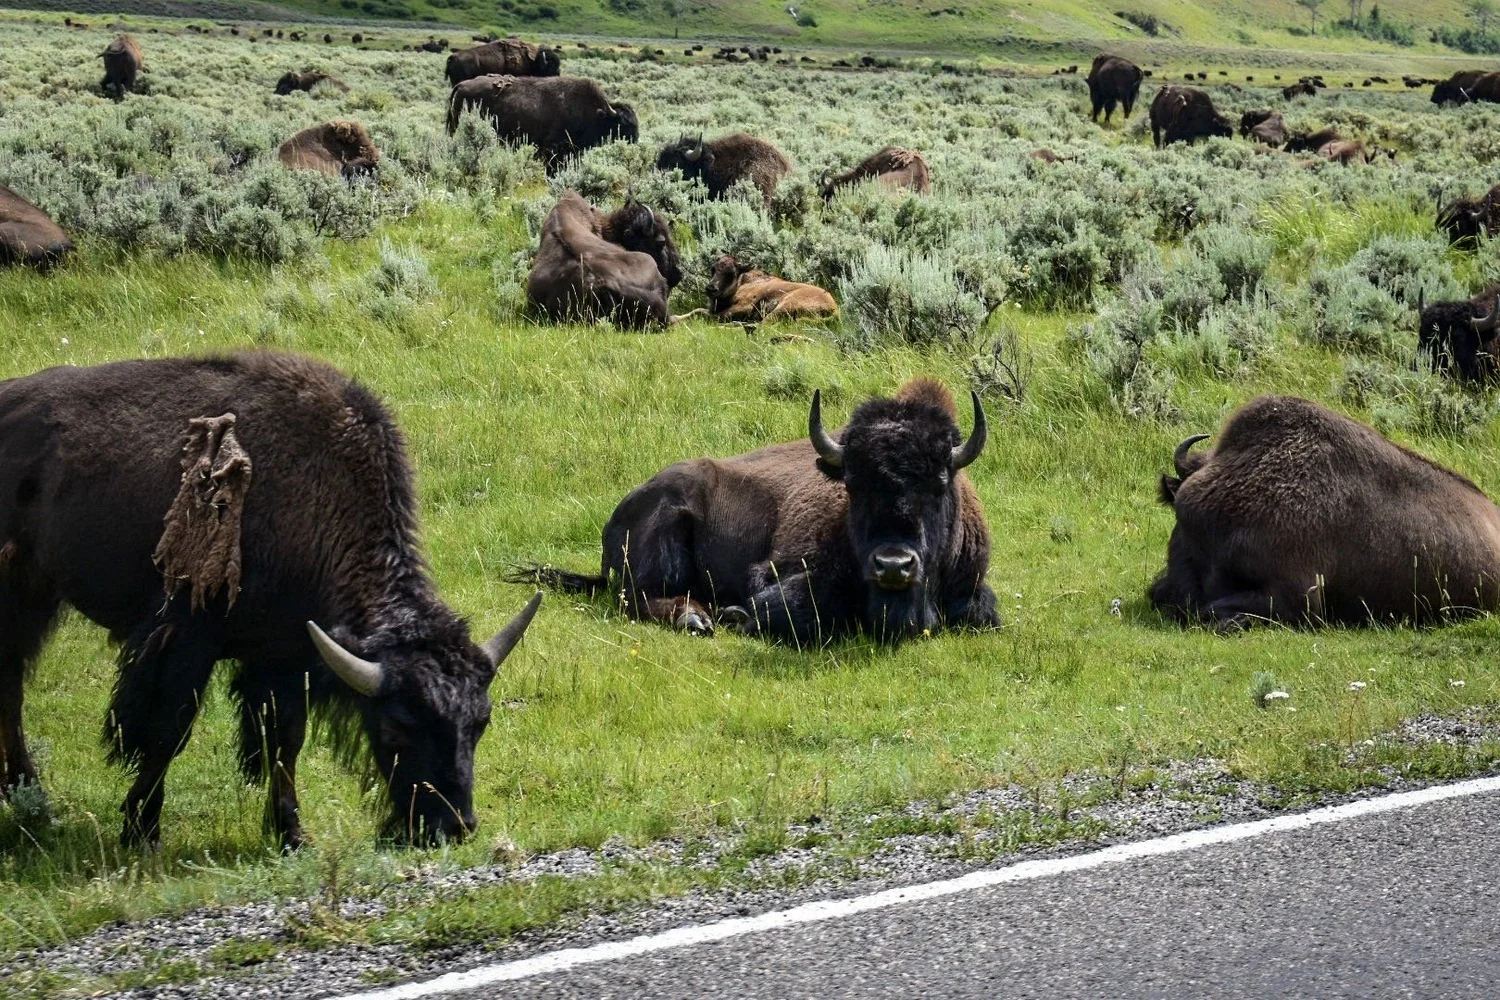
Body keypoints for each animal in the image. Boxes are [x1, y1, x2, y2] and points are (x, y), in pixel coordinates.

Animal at [0, 352, 542, 848]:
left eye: (481, 722)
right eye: (397, 727)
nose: (455, 826)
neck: (312, 497)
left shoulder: (287, 660)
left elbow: (286, 743)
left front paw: (292, 834)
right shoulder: (187, 640)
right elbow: (168, 733)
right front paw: (142, 830)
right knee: (13, 685)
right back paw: (34, 798)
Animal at [516, 380, 997, 644]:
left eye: (939, 482)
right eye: (853, 485)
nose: (893, 564)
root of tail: (621, 512)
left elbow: (983, 614)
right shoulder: (778, 572)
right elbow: (789, 609)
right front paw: (736, 615)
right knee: (637, 598)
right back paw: (697, 619)